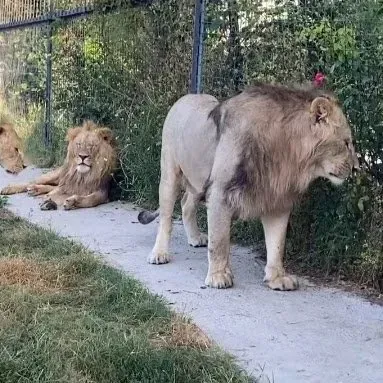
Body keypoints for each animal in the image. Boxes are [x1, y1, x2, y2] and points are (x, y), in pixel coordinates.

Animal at [138, 84, 360, 292]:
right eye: (346, 143)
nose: (356, 168)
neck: (286, 153)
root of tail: (186, 97)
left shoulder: (277, 200)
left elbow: (277, 244)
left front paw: (277, 278)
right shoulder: (220, 192)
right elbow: (219, 241)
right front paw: (219, 276)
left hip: (198, 180)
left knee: (186, 204)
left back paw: (194, 238)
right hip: (170, 173)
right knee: (166, 217)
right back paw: (159, 254)